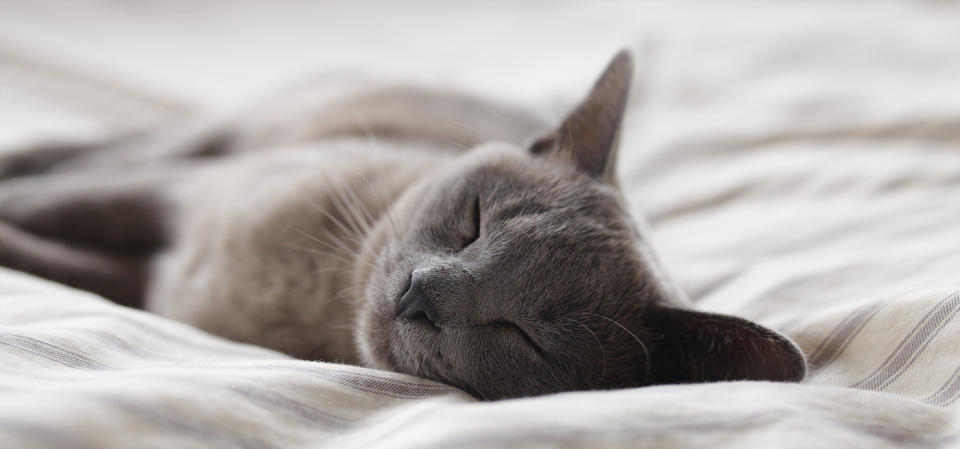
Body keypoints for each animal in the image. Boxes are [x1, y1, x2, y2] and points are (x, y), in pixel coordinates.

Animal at [0, 50, 808, 398]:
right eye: (473, 221)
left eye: (525, 335)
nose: (421, 296)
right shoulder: (176, 195)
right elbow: (53, 206)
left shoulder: (147, 281)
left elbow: (52, 258)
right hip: (218, 137)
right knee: (103, 149)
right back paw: (23, 151)